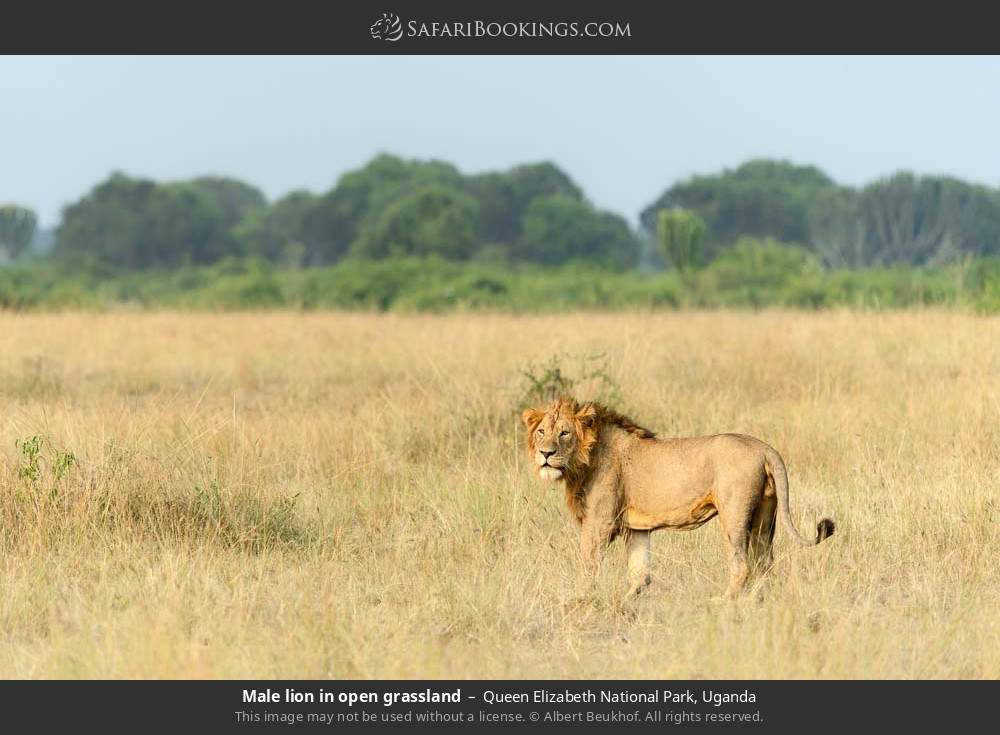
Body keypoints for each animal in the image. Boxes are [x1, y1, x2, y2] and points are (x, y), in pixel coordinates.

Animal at [524, 400, 836, 600]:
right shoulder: (637, 528)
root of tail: (764, 447)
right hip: (765, 516)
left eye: (564, 433)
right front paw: (625, 604)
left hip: (734, 513)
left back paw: (723, 602)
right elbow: (640, 573)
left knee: (741, 564)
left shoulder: (599, 523)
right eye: (541, 431)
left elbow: (588, 566)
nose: (546, 453)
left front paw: (581, 600)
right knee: (764, 563)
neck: (584, 459)